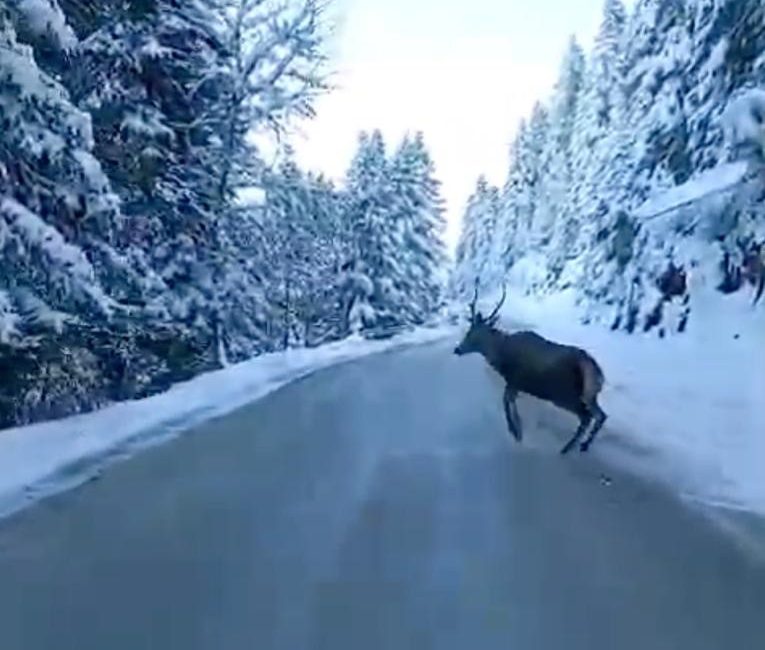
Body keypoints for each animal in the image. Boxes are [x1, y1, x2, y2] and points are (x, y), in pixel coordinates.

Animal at [454, 280, 608, 454]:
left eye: (475, 335)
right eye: (469, 331)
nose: (457, 349)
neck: (502, 356)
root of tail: (598, 374)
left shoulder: (515, 379)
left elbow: (506, 402)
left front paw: (516, 431)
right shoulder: (516, 384)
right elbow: (509, 402)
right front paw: (517, 429)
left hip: (564, 394)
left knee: (587, 417)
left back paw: (567, 448)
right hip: (588, 396)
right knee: (600, 415)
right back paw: (583, 445)